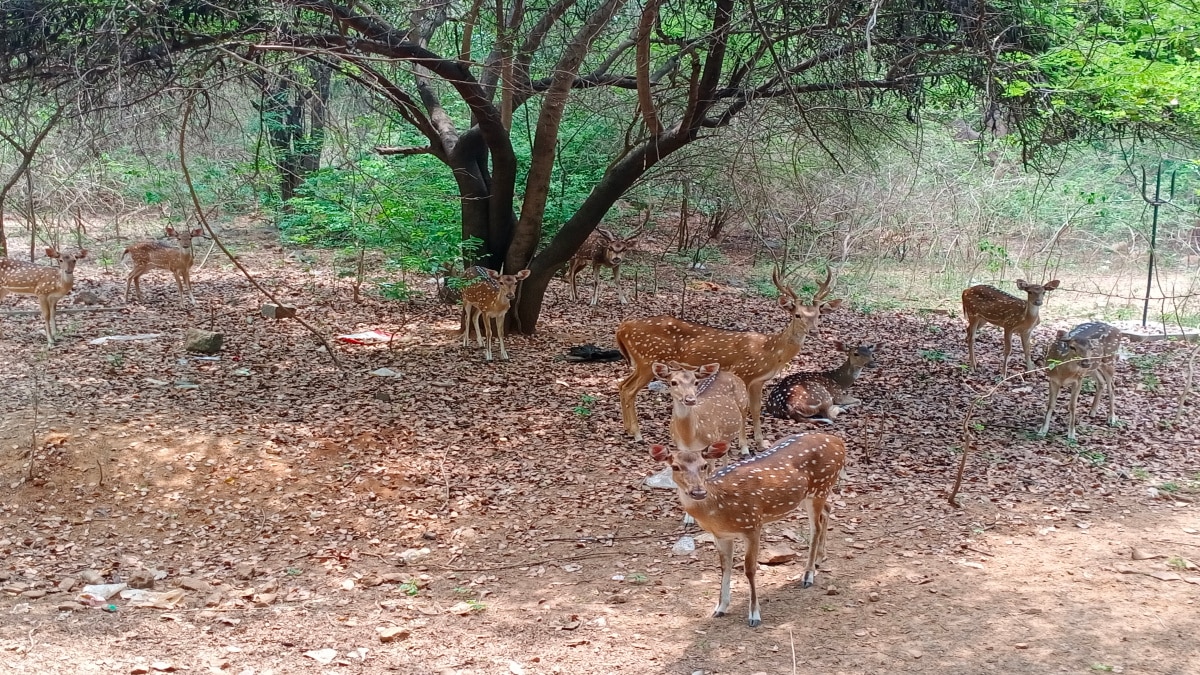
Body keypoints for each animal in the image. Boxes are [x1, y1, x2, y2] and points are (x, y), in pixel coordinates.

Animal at [614, 266, 840, 446]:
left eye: (818, 315)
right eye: (797, 315)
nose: (813, 331)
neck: (770, 352)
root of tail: (623, 328)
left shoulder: (759, 381)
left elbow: (756, 410)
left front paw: (761, 443)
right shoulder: (742, 372)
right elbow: (744, 410)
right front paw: (743, 445)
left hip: (640, 362)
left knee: (622, 385)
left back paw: (628, 429)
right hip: (648, 359)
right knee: (630, 390)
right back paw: (637, 434)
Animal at [652, 429, 849, 624]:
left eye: (704, 466)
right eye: (675, 467)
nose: (698, 492)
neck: (718, 509)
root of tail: (838, 441)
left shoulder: (753, 524)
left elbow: (750, 569)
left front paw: (754, 614)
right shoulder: (721, 535)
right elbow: (725, 567)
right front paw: (720, 608)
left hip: (820, 487)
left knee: (815, 527)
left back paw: (808, 575)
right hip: (804, 496)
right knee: (827, 510)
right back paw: (819, 559)